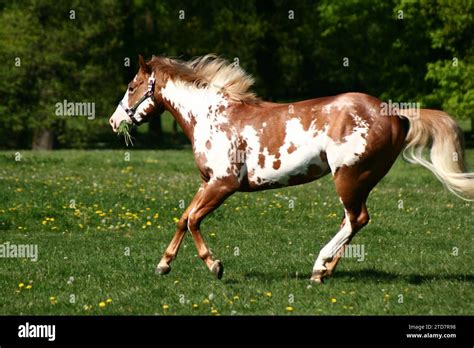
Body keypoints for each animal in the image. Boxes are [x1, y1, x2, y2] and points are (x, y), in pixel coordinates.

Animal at [108, 54, 474, 282]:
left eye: (131, 86)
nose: (113, 121)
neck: (214, 116)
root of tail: (395, 113)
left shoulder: (224, 184)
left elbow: (194, 220)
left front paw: (215, 266)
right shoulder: (207, 182)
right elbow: (183, 218)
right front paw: (163, 265)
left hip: (349, 177)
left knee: (356, 219)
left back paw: (318, 266)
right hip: (360, 181)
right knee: (352, 221)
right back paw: (324, 271)